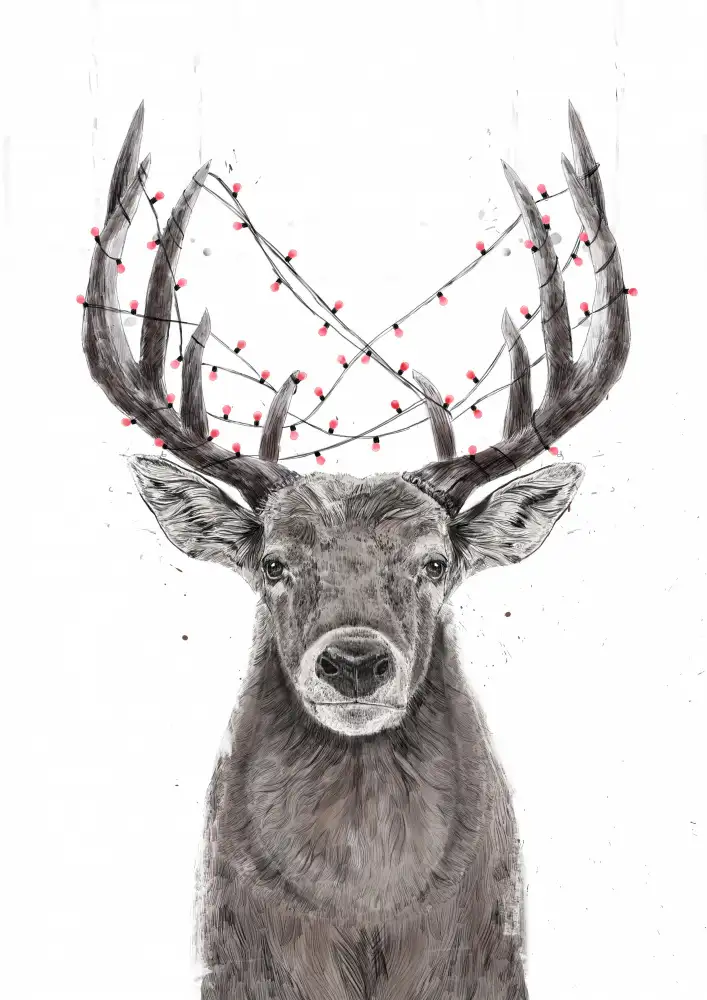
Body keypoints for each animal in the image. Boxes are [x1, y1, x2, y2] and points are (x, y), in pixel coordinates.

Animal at [80, 101, 630, 1000]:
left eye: (434, 563)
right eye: (274, 564)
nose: (354, 663)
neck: (367, 921)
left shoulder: (490, 962)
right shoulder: (233, 964)